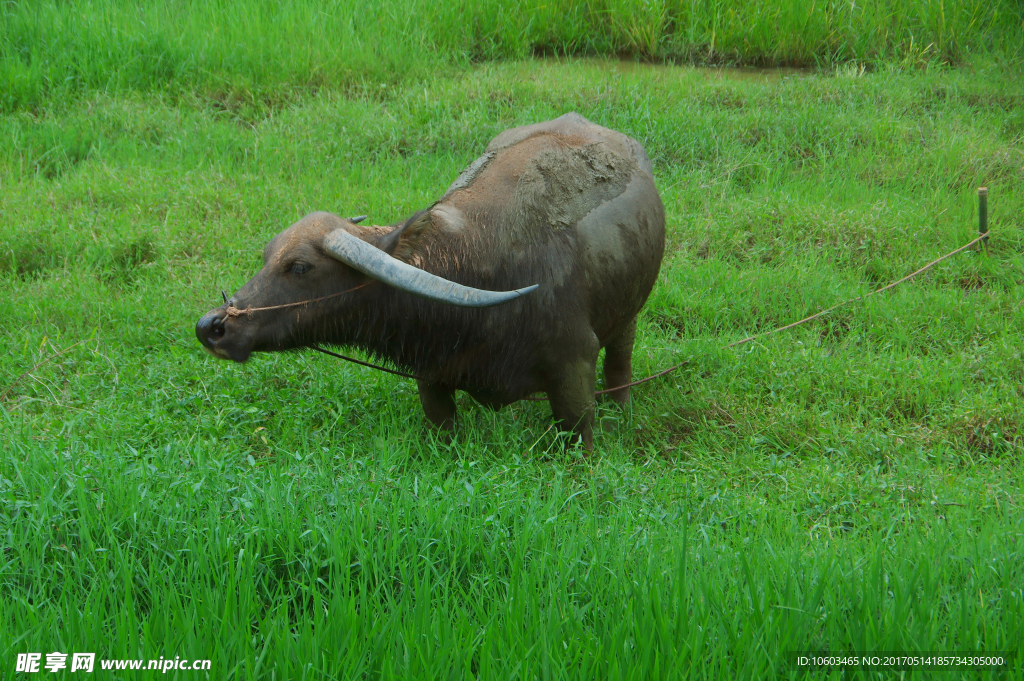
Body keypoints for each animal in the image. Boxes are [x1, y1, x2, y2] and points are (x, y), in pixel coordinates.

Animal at [195, 114, 667, 448]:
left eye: (299, 267)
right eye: (266, 257)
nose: (211, 327)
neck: (471, 261)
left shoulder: (573, 367)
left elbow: (577, 430)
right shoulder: (432, 372)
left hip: (629, 315)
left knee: (620, 363)